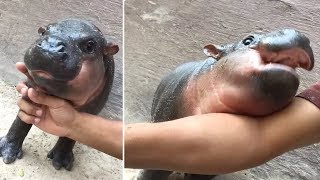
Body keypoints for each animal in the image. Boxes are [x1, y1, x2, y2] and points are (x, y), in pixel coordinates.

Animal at [0, 19, 119, 170]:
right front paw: (7, 153)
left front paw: (60, 162)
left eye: (90, 45)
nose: (50, 46)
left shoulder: (90, 109)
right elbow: (20, 122)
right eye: (43, 31)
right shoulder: (30, 90)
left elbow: (70, 135)